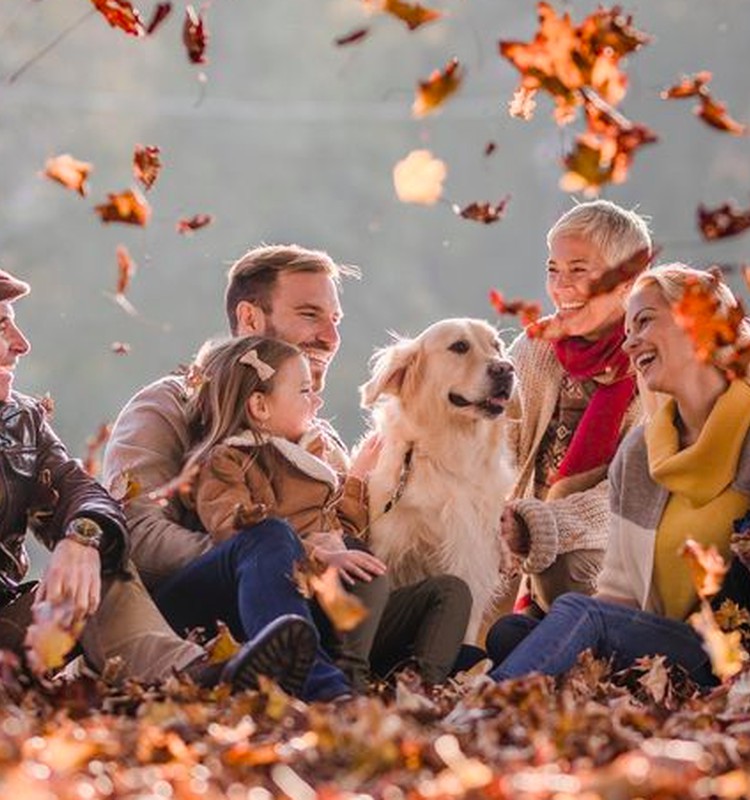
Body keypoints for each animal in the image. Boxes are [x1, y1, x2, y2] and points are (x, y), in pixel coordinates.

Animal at [360, 316, 516, 640]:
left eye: (496, 346)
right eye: (459, 346)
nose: (506, 368)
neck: (449, 459)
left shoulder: (472, 563)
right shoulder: (388, 552)